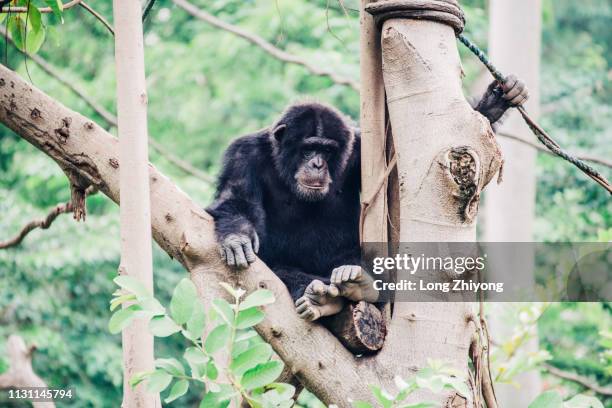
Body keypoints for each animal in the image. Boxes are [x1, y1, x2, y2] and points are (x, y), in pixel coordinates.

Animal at [206, 75, 524, 320]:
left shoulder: (360, 150)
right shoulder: (242, 154)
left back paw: (359, 282)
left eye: (328, 150)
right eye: (308, 149)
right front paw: (236, 237)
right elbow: (236, 200)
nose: (317, 164)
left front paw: (495, 103)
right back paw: (323, 297)